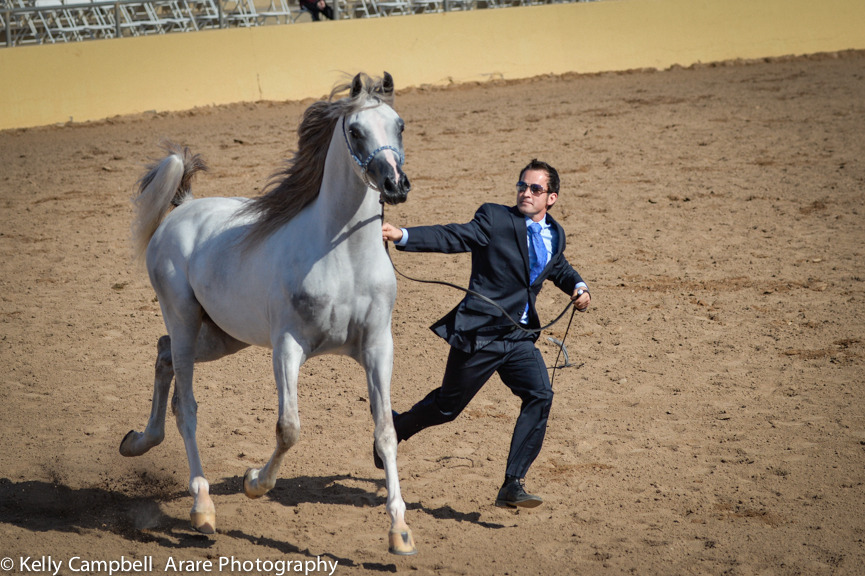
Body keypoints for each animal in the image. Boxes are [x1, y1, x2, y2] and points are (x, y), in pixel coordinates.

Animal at [119, 72, 416, 555]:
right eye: (355, 131)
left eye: (400, 125)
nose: (395, 184)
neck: (342, 256)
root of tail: (183, 207)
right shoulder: (287, 347)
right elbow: (289, 428)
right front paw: (253, 482)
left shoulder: (377, 348)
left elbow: (386, 432)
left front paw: (400, 531)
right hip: (183, 320)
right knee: (187, 406)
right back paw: (202, 508)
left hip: (222, 336)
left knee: (162, 358)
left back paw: (138, 442)